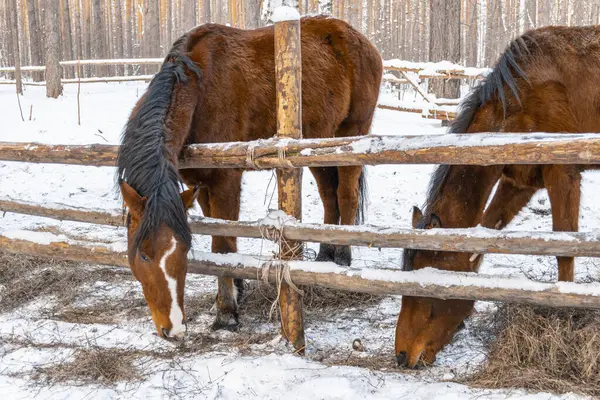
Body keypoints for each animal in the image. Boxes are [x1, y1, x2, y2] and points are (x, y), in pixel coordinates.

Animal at [115, 17, 382, 340]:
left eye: (183, 250)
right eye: (142, 255)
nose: (174, 328)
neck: (199, 90)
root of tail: (358, 38)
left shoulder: (225, 181)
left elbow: (223, 244)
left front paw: (227, 313)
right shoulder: (199, 185)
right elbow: (223, 237)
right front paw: (234, 291)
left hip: (352, 133)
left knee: (347, 195)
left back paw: (342, 256)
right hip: (319, 142)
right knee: (330, 196)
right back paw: (324, 257)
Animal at [394, 25, 600, 368]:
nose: (401, 355)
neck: (517, 102)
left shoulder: (563, 173)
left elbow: (564, 248)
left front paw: (565, 314)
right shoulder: (519, 182)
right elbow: (485, 234)